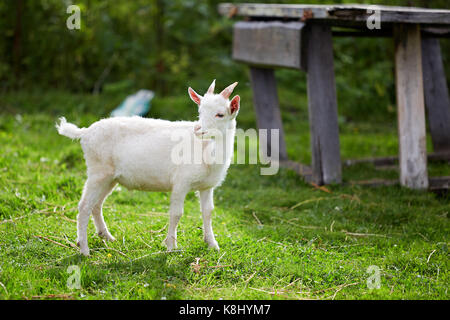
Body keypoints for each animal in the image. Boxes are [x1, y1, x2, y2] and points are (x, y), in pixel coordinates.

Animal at [56, 80, 241, 255]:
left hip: (110, 177)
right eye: (200, 111)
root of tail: (85, 132)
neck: (207, 152)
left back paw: (106, 236)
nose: (197, 129)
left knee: (96, 204)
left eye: (220, 114)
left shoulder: (207, 186)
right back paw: (84, 249)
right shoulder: (181, 182)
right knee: (84, 206)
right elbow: (176, 213)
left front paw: (212, 244)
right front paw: (171, 246)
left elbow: (208, 212)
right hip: (98, 171)